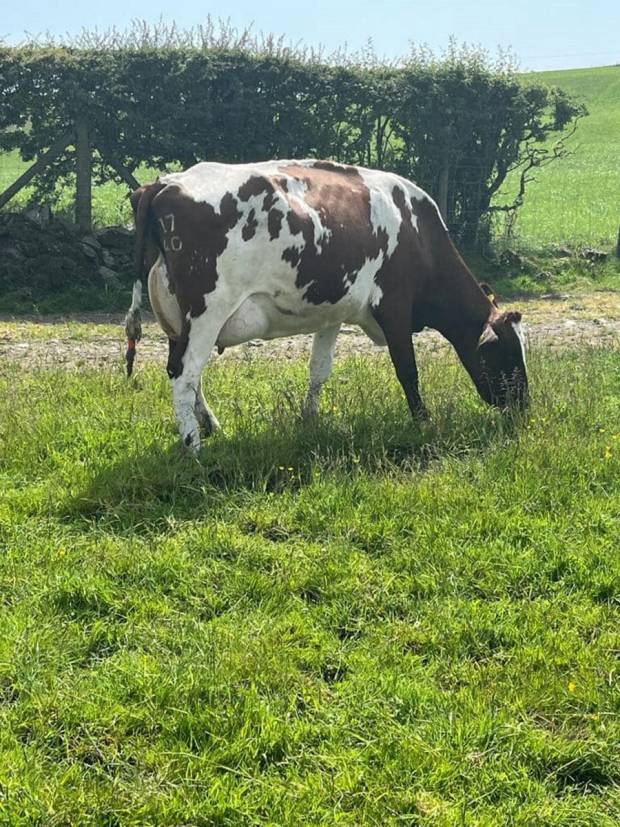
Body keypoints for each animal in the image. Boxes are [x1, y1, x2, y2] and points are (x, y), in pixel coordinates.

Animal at [126, 158, 528, 450]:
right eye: (508, 353)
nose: (524, 407)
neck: (417, 232)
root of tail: (164, 184)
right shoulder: (395, 307)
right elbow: (408, 370)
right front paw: (424, 422)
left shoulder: (335, 312)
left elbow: (320, 370)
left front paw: (310, 420)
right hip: (207, 311)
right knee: (185, 373)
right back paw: (193, 446)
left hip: (180, 321)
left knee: (187, 373)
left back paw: (211, 426)